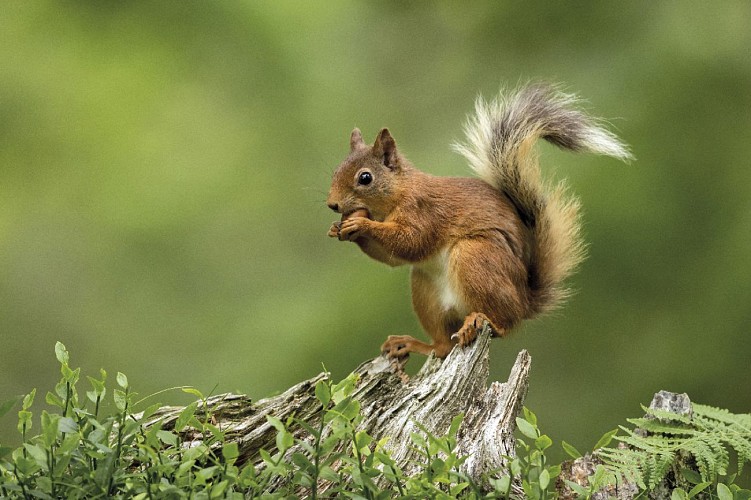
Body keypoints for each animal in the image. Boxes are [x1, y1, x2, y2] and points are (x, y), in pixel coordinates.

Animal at [326, 85, 632, 360]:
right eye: (335, 170)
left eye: (365, 178)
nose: (332, 204)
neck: (398, 193)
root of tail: (525, 301)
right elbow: (392, 256)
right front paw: (340, 228)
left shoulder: (424, 212)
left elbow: (411, 242)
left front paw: (361, 225)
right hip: (426, 290)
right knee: (442, 346)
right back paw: (412, 343)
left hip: (476, 257)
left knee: (504, 323)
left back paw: (484, 322)